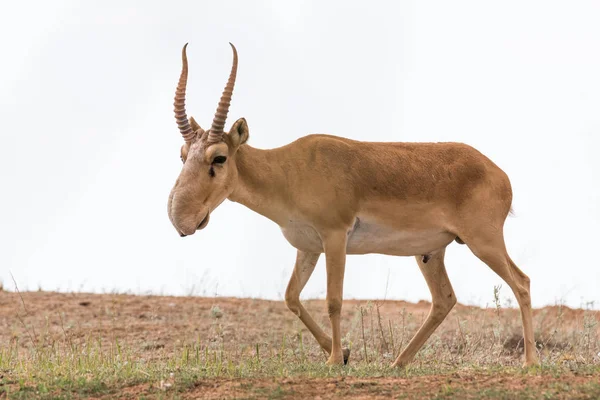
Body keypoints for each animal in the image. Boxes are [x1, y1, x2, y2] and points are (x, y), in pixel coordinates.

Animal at [168, 42, 540, 368]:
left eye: (219, 157)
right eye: (183, 154)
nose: (181, 220)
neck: (291, 169)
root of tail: (499, 174)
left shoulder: (335, 237)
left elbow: (334, 300)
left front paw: (334, 360)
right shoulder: (308, 247)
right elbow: (291, 297)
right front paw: (344, 353)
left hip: (483, 242)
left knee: (521, 283)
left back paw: (529, 363)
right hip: (431, 253)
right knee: (444, 299)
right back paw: (398, 363)